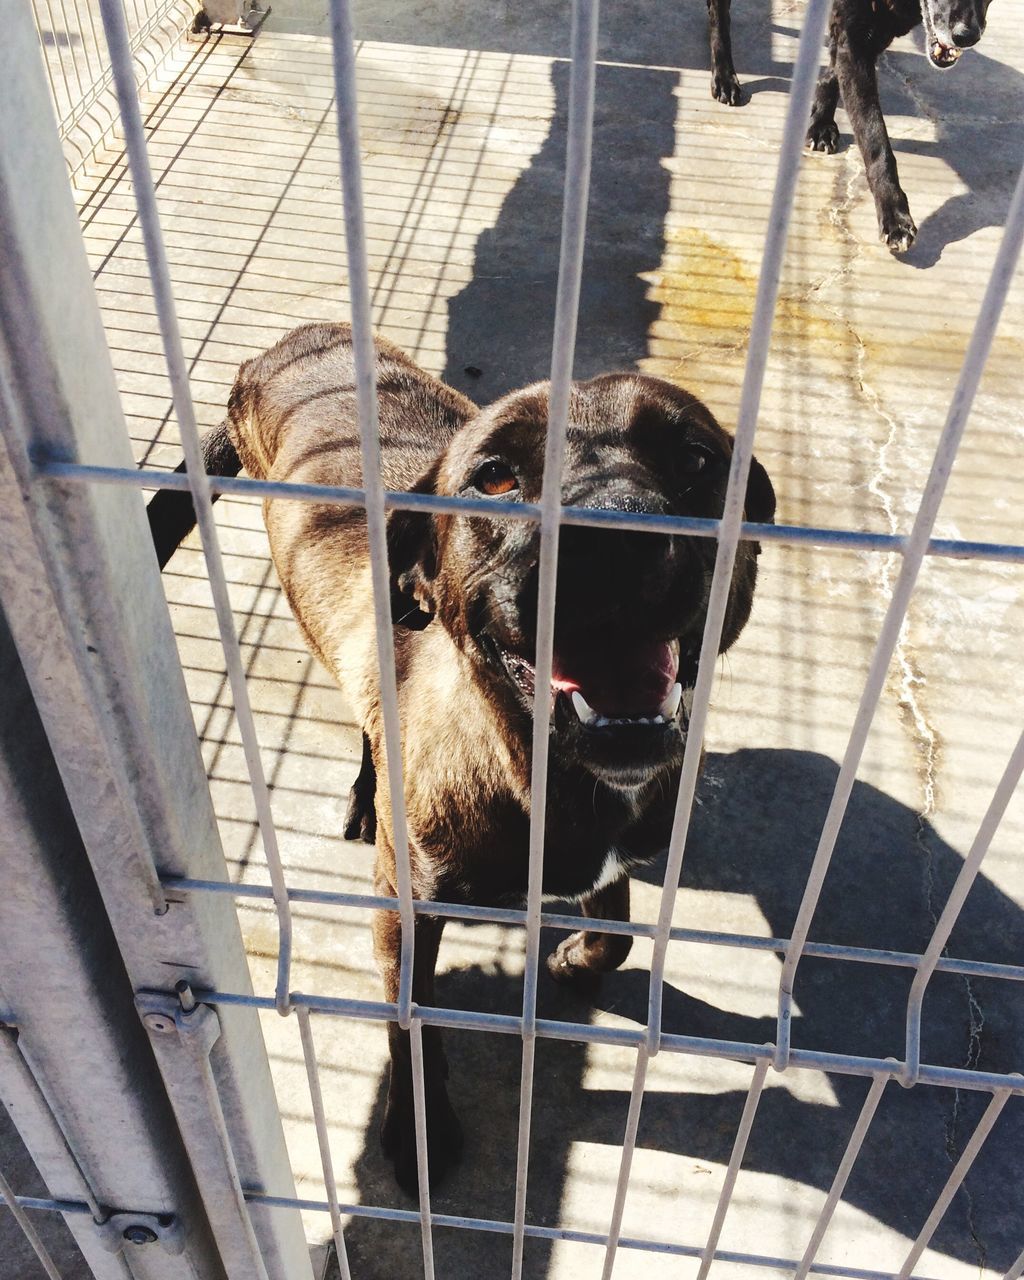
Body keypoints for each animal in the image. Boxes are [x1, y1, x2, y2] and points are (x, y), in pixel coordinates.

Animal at [147, 320, 778, 1187]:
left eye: (694, 458)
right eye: (495, 477)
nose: (613, 541)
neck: (541, 772)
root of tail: (286, 343)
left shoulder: (614, 852)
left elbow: (617, 925)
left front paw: (581, 958)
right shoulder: (405, 908)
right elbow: (412, 1022)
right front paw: (420, 1129)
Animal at [706, 0, 998, 250]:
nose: (967, 36)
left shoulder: (875, 31)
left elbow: (835, 71)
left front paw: (822, 122)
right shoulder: (856, 38)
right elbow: (875, 139)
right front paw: (895, 216)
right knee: (719, 15)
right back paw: (724, 77)